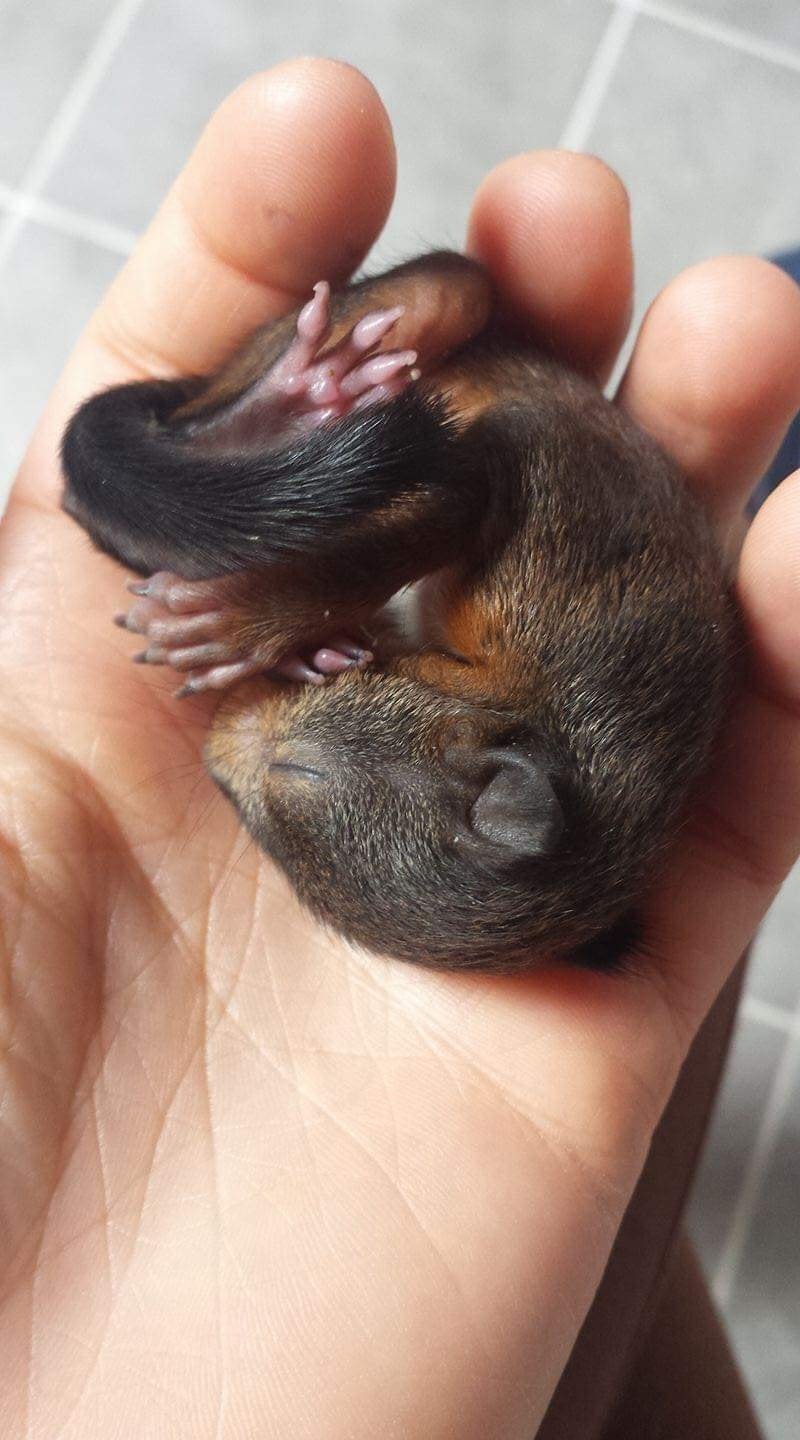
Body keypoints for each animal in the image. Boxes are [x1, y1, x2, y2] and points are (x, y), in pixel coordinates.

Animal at [61, 250, 736, 971]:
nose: (213, 740)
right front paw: (246, 620)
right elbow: (423, 521)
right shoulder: (533, 535)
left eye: (292, 772)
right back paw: (282, 407)